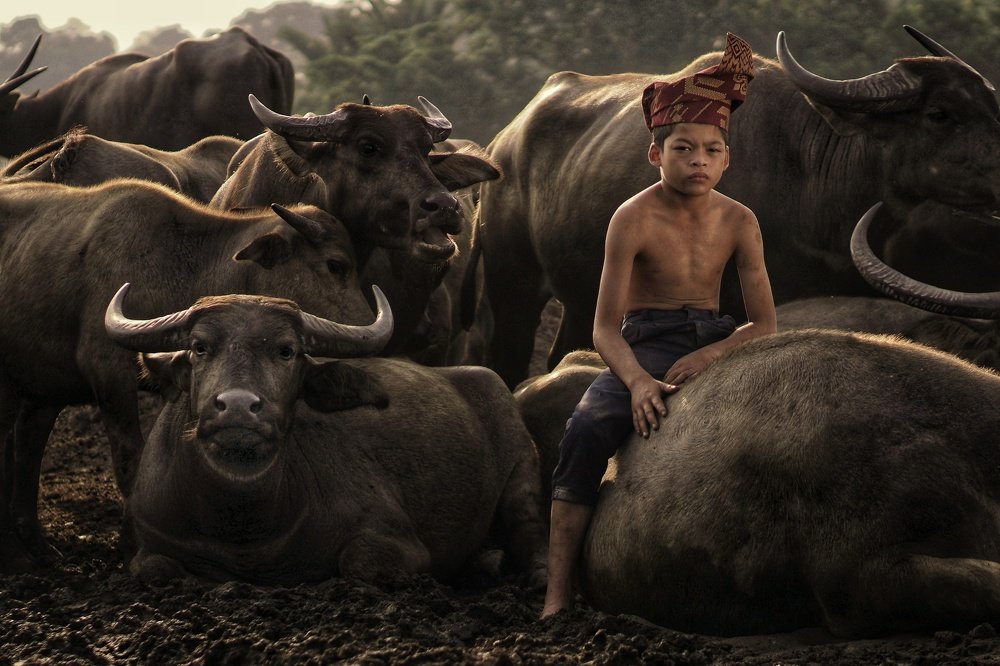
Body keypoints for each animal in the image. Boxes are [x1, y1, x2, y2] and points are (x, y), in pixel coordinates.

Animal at [0, 179, 375, 572]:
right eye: (336, 265)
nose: (367, 326)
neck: (175, 263)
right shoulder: (109, 372)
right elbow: (131, 458)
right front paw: (135, 545)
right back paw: (15, 554)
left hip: (42, 389)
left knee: (27, 444)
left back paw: (37, 547)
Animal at [105, 287, 547, 586]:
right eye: (199, 347)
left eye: (287, 351)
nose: (237, 406)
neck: (241, 530)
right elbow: (155, 567)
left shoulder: (398, 539)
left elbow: (359, 560)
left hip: (524, 478)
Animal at [473, 26, 1000, 387]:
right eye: (939, 114)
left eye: (992, 104)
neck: (809, 179)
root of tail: (503, 143)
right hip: (512, 286)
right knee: (505, 361)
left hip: (584, 298)